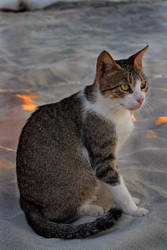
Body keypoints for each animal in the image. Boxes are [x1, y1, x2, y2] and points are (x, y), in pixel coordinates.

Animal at [16, 46, 149, 239]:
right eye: (125, 87)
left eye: (143, 85)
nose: (140, 99)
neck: (115, 111)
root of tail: (26, 202)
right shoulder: (102, 159)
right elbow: (118, 186)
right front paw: (133, 209)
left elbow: (118, 183)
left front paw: (133, 199)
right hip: (81, 176)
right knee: (59, 216)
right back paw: (92, 209)